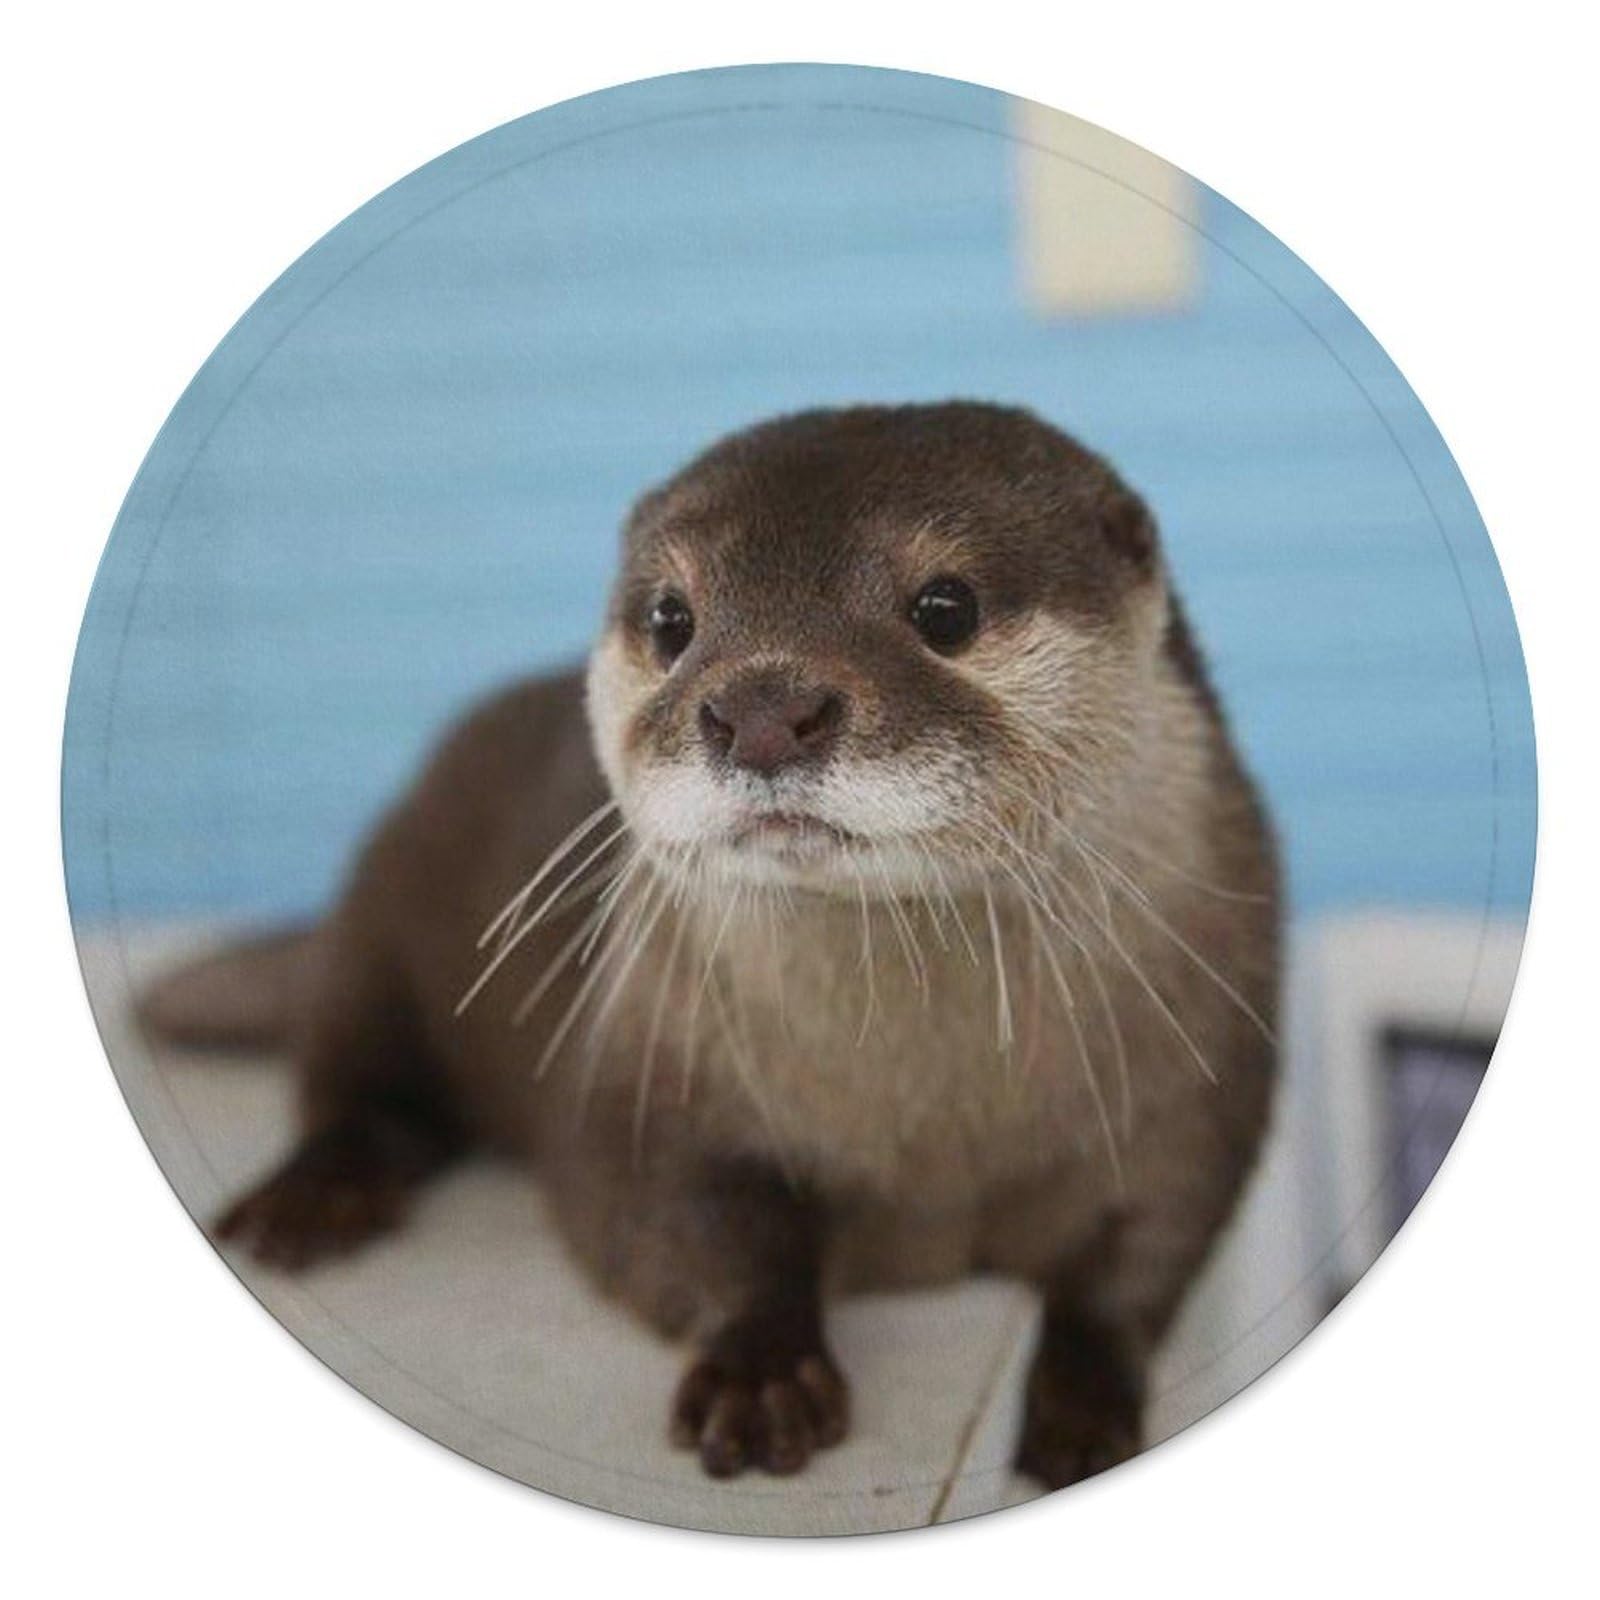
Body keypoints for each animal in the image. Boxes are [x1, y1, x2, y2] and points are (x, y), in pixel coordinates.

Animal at [140, 402, 1279, 1490]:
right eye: (670, 617)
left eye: (946, 607)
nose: (764, 706)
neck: (925, 1134)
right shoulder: (641, 1066)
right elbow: (679, 1217)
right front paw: (761, 1373)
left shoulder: (1199, 1082)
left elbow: (1148, 1250)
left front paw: (1085, 1412)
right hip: (383, 913)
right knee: (358, 1078)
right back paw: (312, 1200)